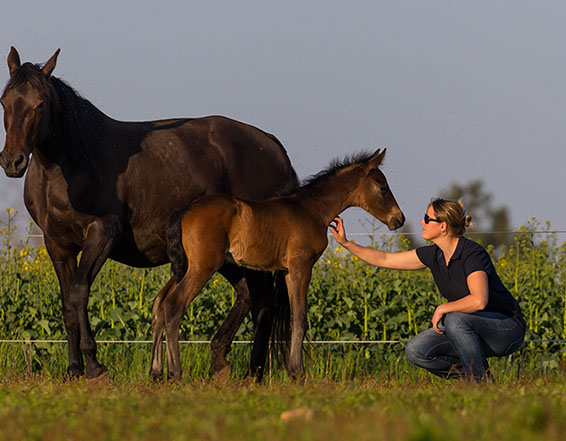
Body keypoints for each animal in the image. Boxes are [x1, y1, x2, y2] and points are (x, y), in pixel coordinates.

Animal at [0, 47, 299, 380]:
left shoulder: (101, 234)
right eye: (4, 101)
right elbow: (66, 303)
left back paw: (252, 372)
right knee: (248, 296)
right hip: (225, 256)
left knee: (265, 304)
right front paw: (74, 369)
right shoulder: (57, 243)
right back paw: (221, 361)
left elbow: (79, 292)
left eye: (40, 104)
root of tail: (272, 145)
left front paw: (94, 365)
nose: (12, 161)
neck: (73, 165)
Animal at [155, 148, 405, 380]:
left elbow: (294, 318)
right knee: (174, 305)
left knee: (161, 302)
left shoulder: (287, 272)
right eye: (382, 186)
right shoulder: (301, 267)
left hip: (186, 268)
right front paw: (298, 372)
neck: (312, 210)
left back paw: (158, 372)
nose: (399, 219)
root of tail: (186, 209)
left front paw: (294, 370)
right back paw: (175, 373)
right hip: (203, 267)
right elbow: (300, 318)